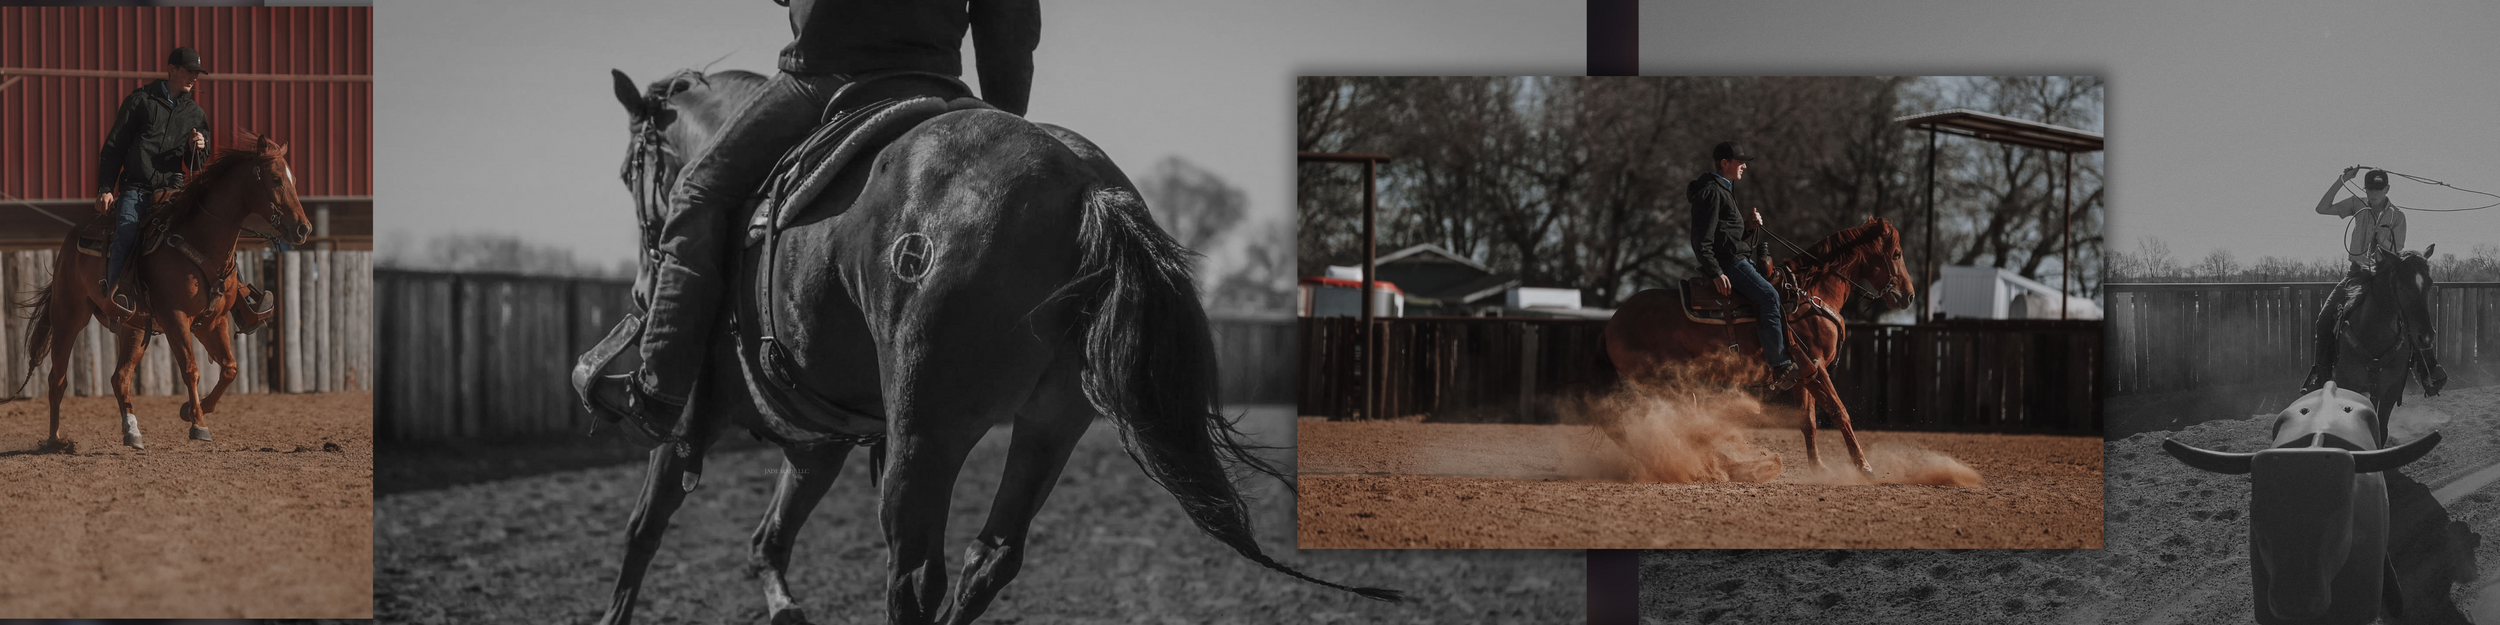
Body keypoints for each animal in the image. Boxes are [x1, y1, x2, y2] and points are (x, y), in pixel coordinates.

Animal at [18, 131, 311, 450]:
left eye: (294, 179)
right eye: (276, 179)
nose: (303, 229)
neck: (200, 240)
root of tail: (72, 237)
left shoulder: (212, 322)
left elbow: (229, 368)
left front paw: (192, 410)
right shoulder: (175, 318)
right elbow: (191, 368)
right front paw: (198, 424)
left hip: (134, 328)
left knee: (120, 378)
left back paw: (132, 432)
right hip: (69, 316)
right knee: (57, 379)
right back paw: (55, 439)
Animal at [584, 69, 1397, 625]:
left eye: (628, 172)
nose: (645, 274)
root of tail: (1086, 189)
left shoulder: (694, 419)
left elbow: (643, 529)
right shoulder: (819, 443)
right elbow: (767, 539)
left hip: (926, 432)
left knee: (915, 575)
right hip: (1051, 422)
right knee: (990, 557)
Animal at [1601, 217, 1914, 478]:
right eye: (1897, 254)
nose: (1909, 297)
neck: (1810, 295)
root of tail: (1613, 322)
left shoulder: (1802, 375)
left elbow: (1808, 421)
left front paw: (1819, 468)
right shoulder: (1816, 368)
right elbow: (1839, 411)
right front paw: (1864, 466)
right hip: (1668, 382)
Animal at [2327, 246, 2440, 446]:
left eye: (2429, 283)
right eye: (2402, 286)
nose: (2426, 337)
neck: (2373, 335)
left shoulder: (2391, 391)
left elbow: (2381, 431)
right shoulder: (2347, 385)